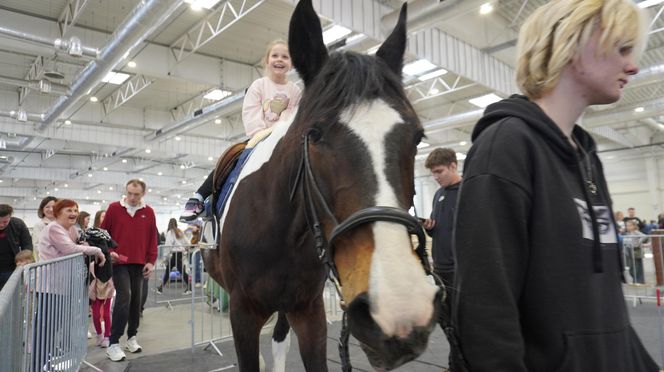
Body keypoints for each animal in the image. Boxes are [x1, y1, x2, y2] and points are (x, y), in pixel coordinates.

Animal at [202, 1, 440, 370]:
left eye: (417, 137)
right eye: (313, 134)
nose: (399, 308)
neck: (280, 233)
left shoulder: (308, 310)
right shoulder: (242, 314)